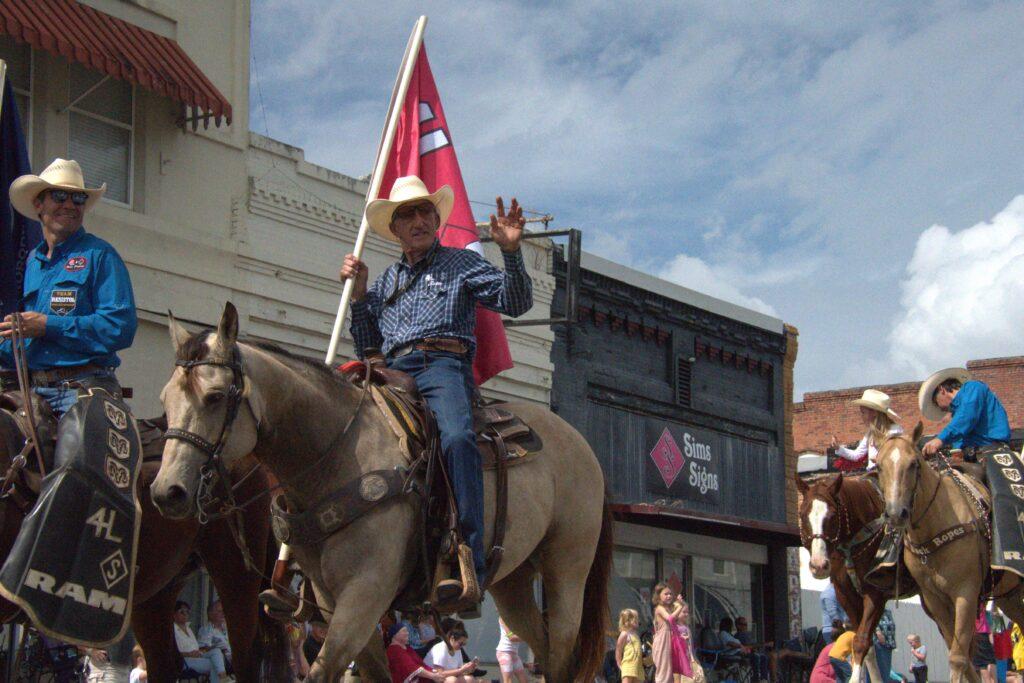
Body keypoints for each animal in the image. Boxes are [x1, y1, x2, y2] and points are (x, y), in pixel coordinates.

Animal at [149, 303, 610, 683]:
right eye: (165, 399)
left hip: (566, 569)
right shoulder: (333, 600)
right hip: (513, 581)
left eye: (215, 396)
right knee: (545, 653)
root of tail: (585, 447)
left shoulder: (366, 591)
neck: (335, 455)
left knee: (562, 654)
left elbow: (322, 672)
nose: (167, 491)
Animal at [794, 473, 909, 683]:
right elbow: (866, 647)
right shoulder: (846, 595)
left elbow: (861, 642)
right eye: (802, 515)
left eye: (832, 516)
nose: (819, 565)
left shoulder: (875, 594)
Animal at [876, 428, 1024, 683]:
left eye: (913, 464)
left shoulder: (965, 593)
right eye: (878, 466)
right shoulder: (935, 599)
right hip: (1009, 595)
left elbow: (958, 658)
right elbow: (963, 656)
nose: (896, 514)